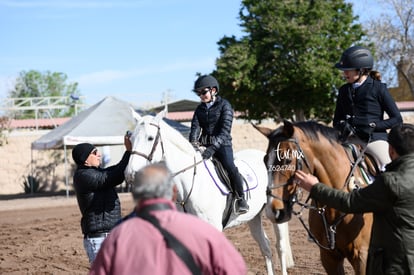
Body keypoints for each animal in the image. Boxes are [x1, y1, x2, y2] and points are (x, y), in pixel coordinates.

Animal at [123, 111, 294, 274]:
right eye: (131, 139)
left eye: (150, 138)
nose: (130, 174)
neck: (191, 186)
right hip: (254, 217)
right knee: (265, 247)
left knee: (280, 247)